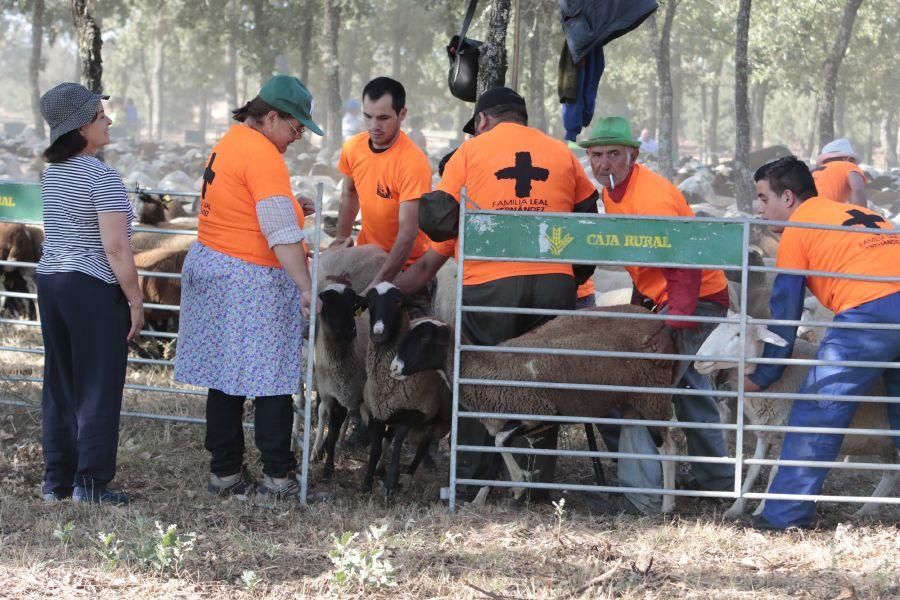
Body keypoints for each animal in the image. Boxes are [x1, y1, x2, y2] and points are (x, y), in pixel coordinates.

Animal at [362, 284, 454, 494]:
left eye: (398, 302)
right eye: (369, 302)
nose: (378, 333)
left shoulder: (417, 411)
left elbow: (398, 440)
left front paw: (390, 483)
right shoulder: (377, 412)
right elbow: (376, 447)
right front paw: (367, 482)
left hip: (440, 417)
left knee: (423, 445)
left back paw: (408, 473)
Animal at [390, 304, 680, 510]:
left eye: (424, 338)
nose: (393, 368)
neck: (485, 369)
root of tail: (653, 318)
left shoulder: (537, 412)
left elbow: (499, 443)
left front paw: (519, 485)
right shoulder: (503, 416)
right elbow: (493, 456)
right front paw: (479, 499)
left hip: (653, 396)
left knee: (668, 448)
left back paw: (667, 504)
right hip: (634, 401)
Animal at [692, 318, 896, 520]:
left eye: (738, 334)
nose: (699, 360)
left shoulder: (790, 432)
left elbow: (775, 471)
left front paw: (761, 509)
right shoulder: (767, 431)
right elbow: (753, 470)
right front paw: (736, 508)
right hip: (886, 446)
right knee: (891, 476)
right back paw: (864, 511)